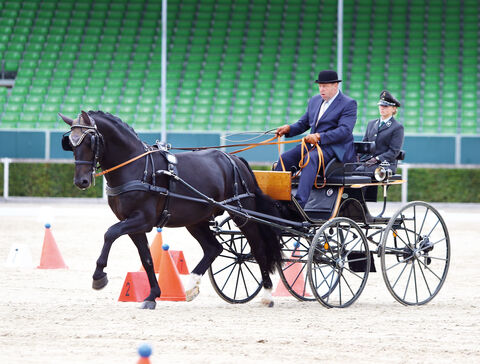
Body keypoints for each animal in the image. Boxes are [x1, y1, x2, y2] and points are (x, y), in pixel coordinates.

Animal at [61, 109, 284, 308]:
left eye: (90, 141)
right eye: (70, 144)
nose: (81, 181)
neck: (137, 167)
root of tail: (235, 159)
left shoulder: (142, 219)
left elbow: (110, 233)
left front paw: (99, 276)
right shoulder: (134, 225)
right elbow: (147, 259)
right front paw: (152, 296)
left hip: (242, 214)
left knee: (258, 247)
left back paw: (267, 293)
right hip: (196, 220)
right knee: (214, 248)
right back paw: (191, 286)